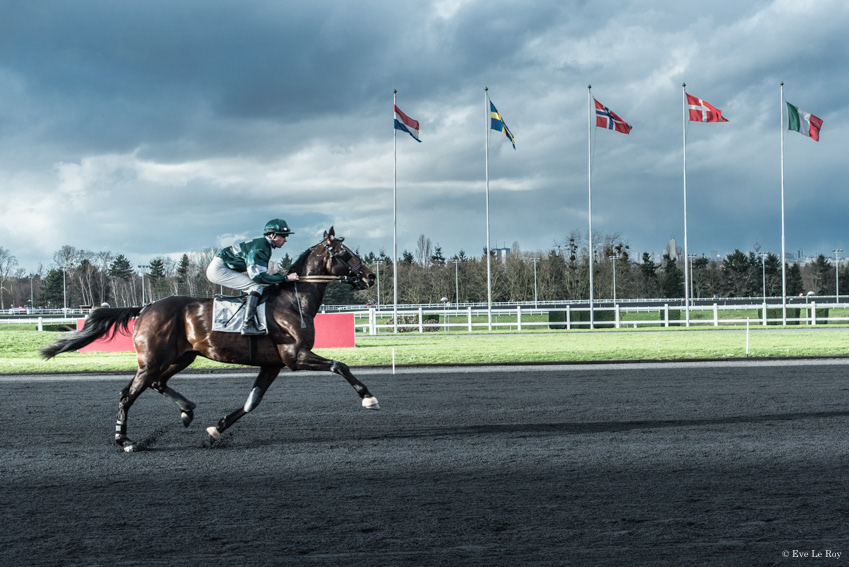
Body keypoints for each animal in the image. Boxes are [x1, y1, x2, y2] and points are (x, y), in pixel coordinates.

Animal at [41, 227, 379, 452]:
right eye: (345, 253)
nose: (370, 276)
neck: (293, 301)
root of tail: (146, 306)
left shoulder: (272, 364)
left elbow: (252, 402)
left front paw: (216, 429)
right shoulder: (295, 355)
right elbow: (340, 365)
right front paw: (368, 398)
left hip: (182, 356)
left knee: (158, 383)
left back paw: (187, 410)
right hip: (151, 360)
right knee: (128, 395)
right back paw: (124, 440)